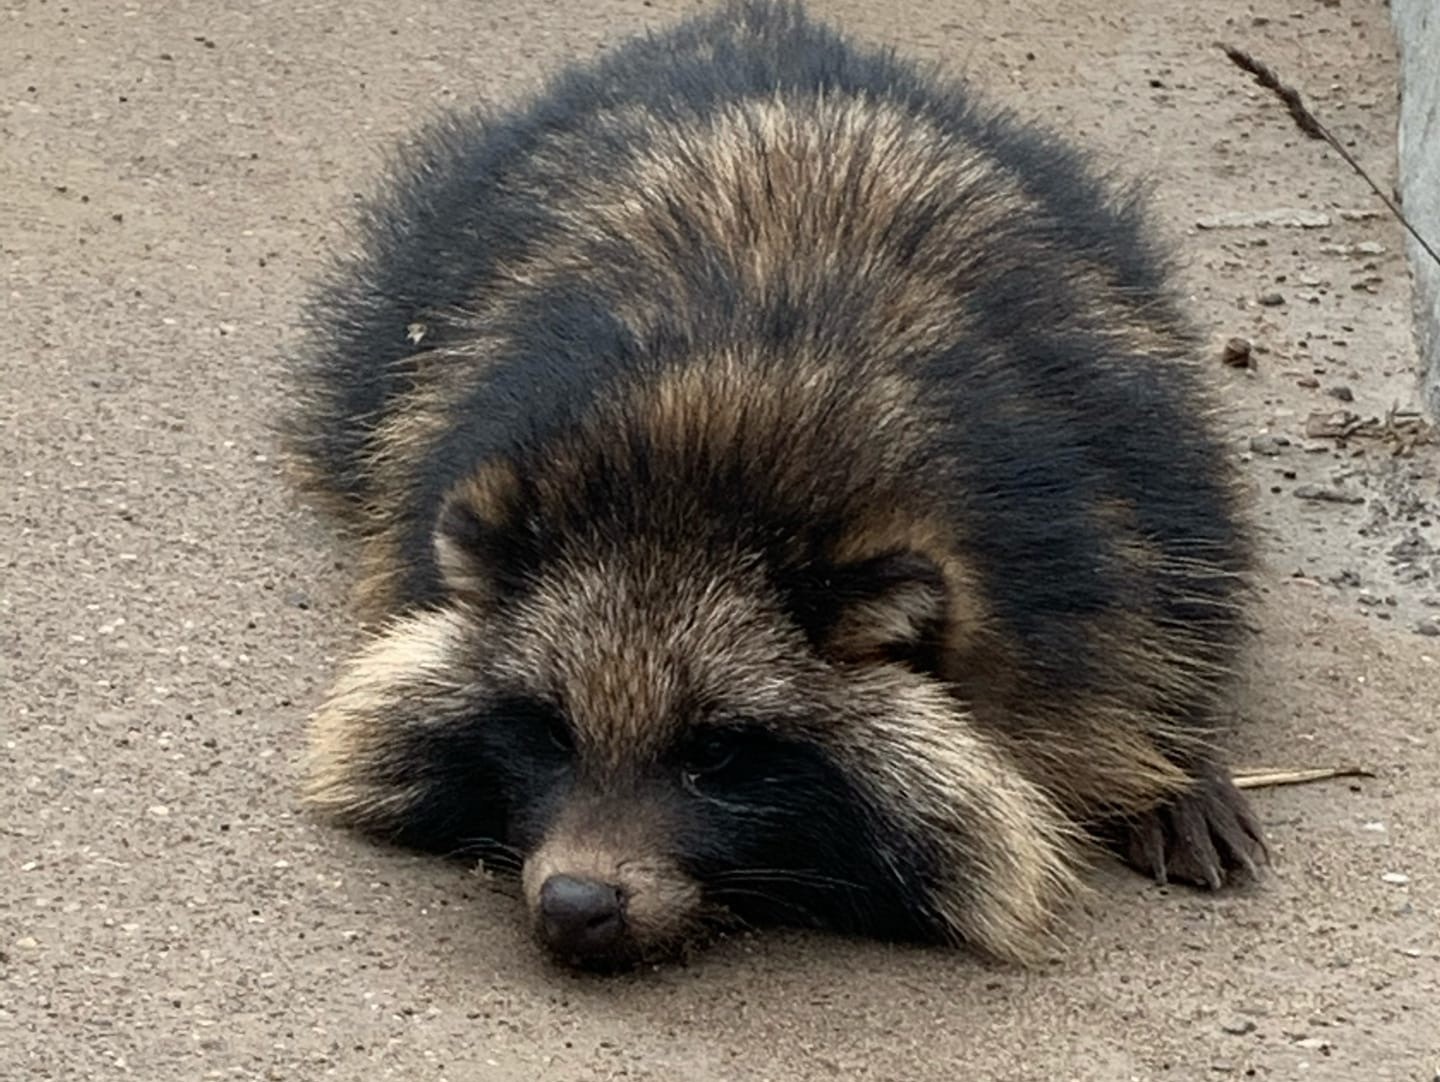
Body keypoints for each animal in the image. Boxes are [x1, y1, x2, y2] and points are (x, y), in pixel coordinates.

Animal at [286, 0, 1267, 968]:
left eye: (717, 751)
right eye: (549, 730)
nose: (574, 903)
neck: (707, 457)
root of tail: (767, 34)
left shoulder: (1077, 530)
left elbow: (1125, 639)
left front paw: (1166, 756)